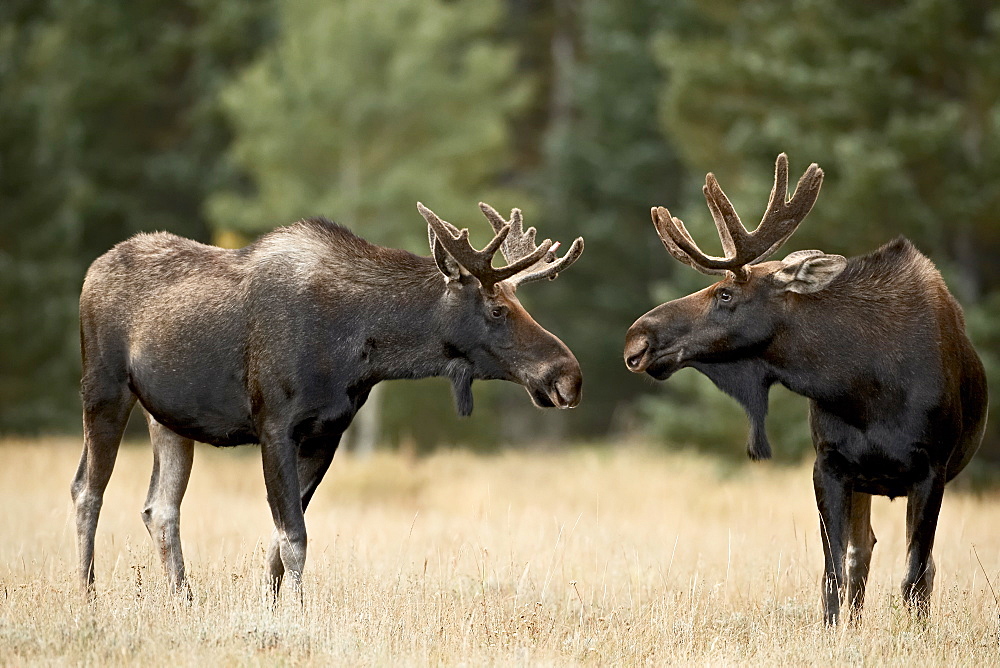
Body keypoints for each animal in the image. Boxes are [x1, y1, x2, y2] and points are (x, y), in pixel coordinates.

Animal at [74, 201, 584, 596]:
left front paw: (273, 609)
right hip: (103, 389)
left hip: (169, 418)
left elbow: (278, 543)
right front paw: (297, 615)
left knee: (160, 508)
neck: (360, 347)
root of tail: (92, 270)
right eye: (497, 309)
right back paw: (88, 594)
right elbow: (293, 537)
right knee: (87, 491)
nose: (569, 376)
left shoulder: (326, 433)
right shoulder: (274, 425)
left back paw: (184, 598)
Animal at [624, 154, 984, 624]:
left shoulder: (931, 468)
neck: (865, 387)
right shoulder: (829, 463)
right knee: (862, 552)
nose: (637, 339)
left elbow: (914, 576)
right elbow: (833, 572)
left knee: (918, 567)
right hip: (864, 481)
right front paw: (834, 630)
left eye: (724, 293)